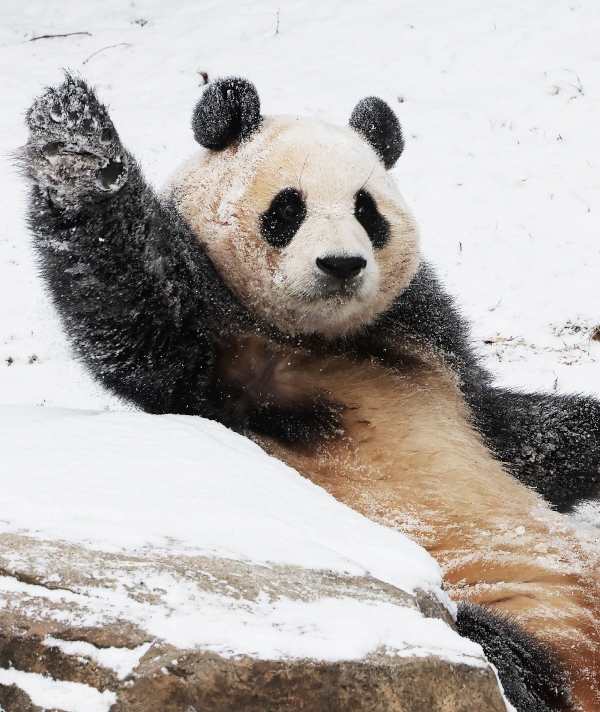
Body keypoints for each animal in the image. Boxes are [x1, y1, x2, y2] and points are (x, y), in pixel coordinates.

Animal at [21, 75, 600, 712]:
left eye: (366, 209)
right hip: (492, 599)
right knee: (499, 649)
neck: (322, 340)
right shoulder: (216, 364)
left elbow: (522, 434)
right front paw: (75, 142)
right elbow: (136, 310)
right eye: (287, 208)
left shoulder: (435, 354)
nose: (342, 264)